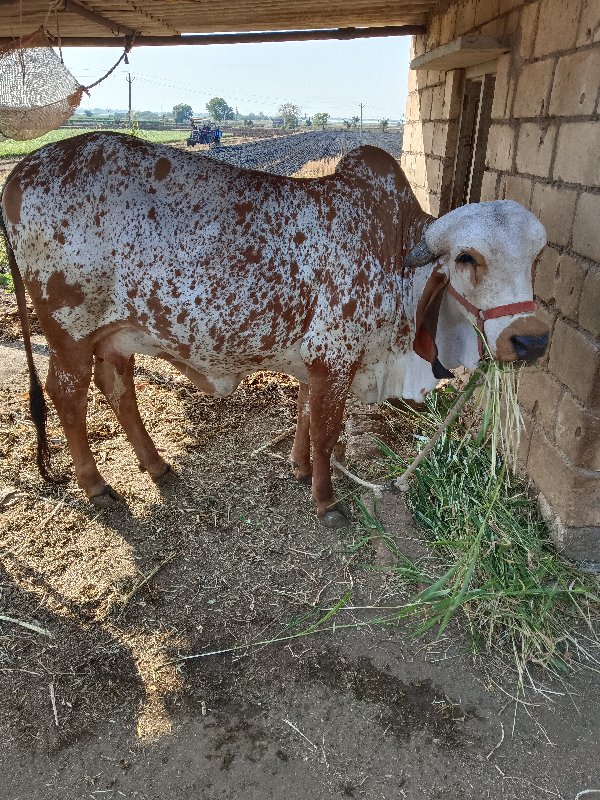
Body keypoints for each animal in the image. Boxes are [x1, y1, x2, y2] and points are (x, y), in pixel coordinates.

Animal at [0, 134, 552, 528]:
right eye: (467, 258)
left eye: (537, 256)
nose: (530, 340)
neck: (393, 250)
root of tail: (21, 171)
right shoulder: (336, 359)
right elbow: (327, 432)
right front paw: (326, 501)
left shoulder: (316, 364)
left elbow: (306, 415)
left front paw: (300, 470)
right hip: (69, 335)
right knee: (67, 397)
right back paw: (96, 486)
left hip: (117, 336)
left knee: (118, 390)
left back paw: (156, 466)